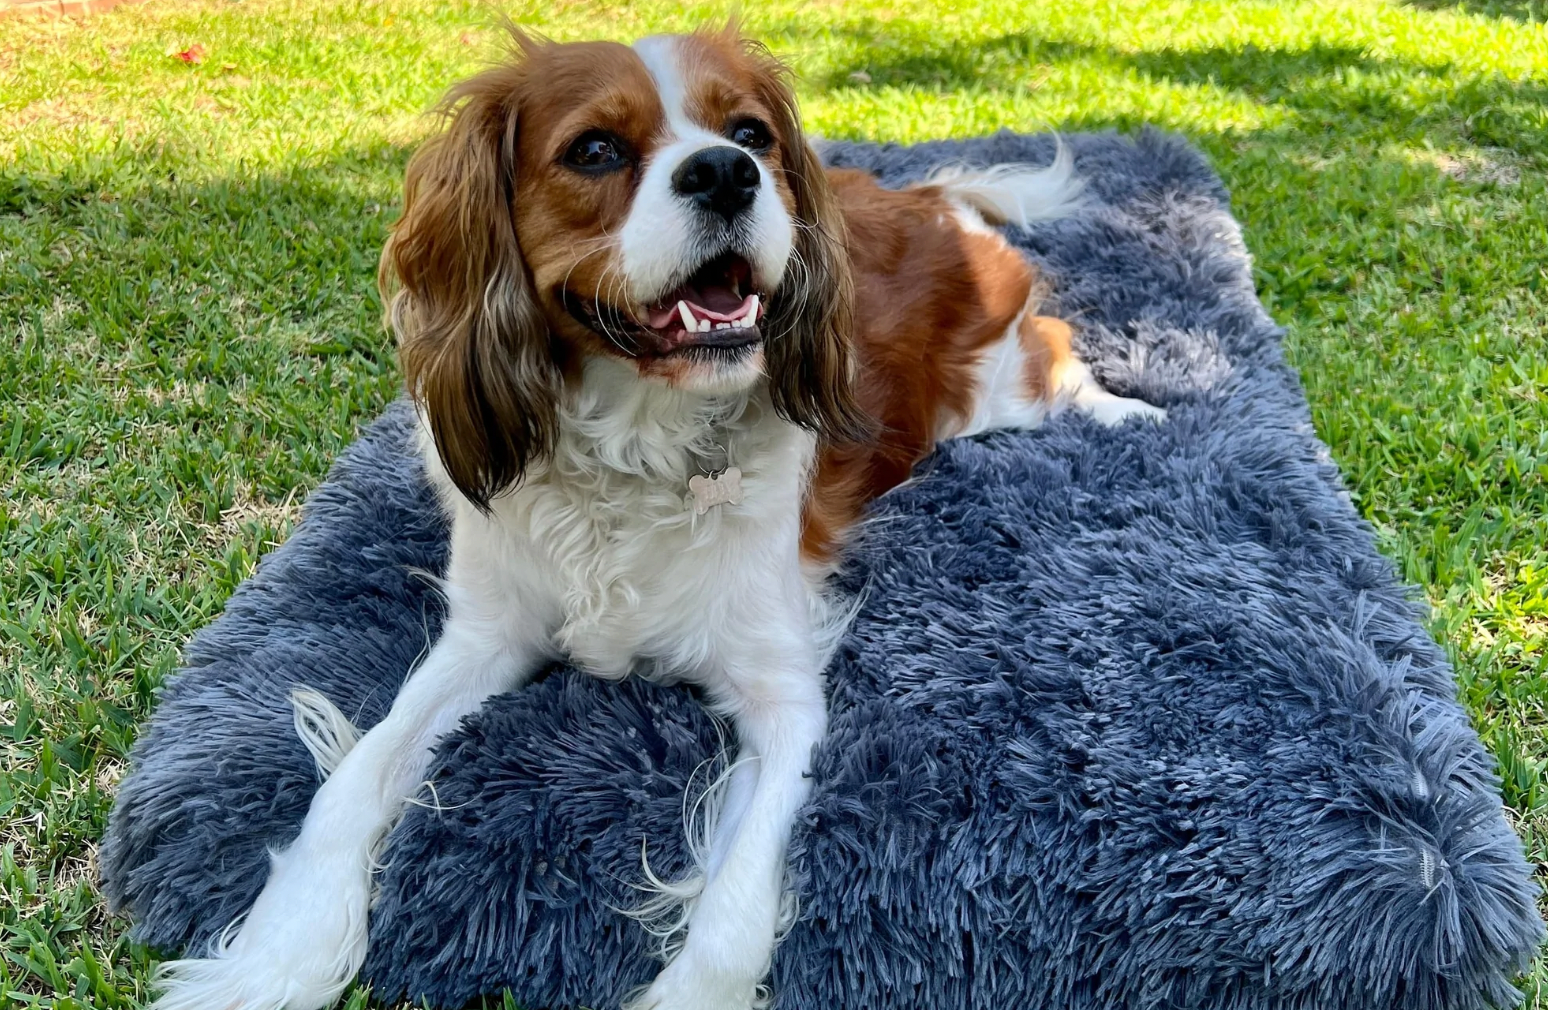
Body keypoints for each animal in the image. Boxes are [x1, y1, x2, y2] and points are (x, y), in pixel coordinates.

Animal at [150, 21, 1164, 1010]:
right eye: (594, 150)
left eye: (751, 132)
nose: (725, 170)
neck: (638, 447)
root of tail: (926, 202)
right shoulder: (484, 637)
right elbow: (357, 777)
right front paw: (282, 951)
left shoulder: (785, 698)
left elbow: (733, 916)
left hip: (994, 388)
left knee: (1057, 352)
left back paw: (1134, 414)